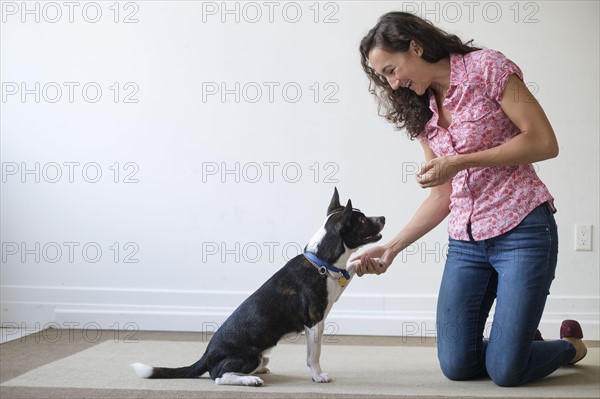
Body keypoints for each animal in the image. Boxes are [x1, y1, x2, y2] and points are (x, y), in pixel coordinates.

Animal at [131, 188, 384, 388]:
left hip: (260, 356)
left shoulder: (335, 283)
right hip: (250, 356)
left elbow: (349, 267)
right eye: (361, 221)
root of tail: (206, 355)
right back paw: (249, 379)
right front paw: (318, 376)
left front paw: (365, 260)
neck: (321, 261)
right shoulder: (313, 322)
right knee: (218, 377)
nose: (382, 216)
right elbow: (314, 355)